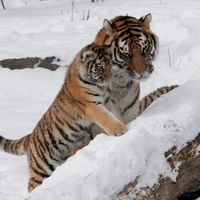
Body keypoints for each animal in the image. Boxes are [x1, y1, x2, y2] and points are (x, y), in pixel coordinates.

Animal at [0, 43, 126, 192]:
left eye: (110, 64)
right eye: (100, 66)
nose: (109, 79)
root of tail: (29, 137)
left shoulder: (107, 102)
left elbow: (114, 115)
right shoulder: (91, 106)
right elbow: (106, 117)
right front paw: (119, 130)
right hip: (42, 167)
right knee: (32, 184)